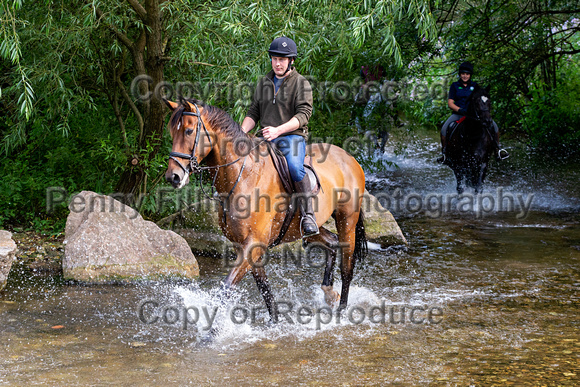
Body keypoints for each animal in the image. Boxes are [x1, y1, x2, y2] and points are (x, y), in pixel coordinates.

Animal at [163, 98, 368, 322]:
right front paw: (275, 322)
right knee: (330, 242)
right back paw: (329, 292)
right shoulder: (244, 246)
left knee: (347, 266)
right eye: (172, 133)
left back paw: (341, 310)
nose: (173, 177)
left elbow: (226, 287)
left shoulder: (254, 244)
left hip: (347, 220)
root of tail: (349, 157)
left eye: (189, 131)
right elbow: (264, 288)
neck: (244, 176)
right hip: (305, 228)